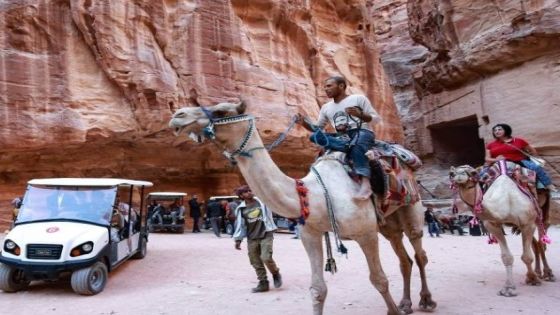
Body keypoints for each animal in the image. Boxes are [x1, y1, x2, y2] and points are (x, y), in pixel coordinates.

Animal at [168, 102, 436, 315]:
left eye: (221, 111)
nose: (178, 115)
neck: (315, 194)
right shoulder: (310, 234)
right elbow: (318, 289)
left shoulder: (366, 233)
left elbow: (379, 280)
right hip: (388, 222)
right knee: (403, 257)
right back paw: (406, 303)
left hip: (411, 206)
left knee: (419, 252)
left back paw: (426, 301)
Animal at [448, 164, 552, 298]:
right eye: (451, 173)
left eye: (474, 173)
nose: (459, 175)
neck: (507, 200)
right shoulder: (492, 224)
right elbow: (507, 257)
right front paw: (508, 288)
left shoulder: (528, 223)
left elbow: (527, 256)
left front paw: (532, 279)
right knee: (535, 244)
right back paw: (538, 272)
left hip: (541, 210)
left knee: (542, 239)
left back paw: (548, 274)